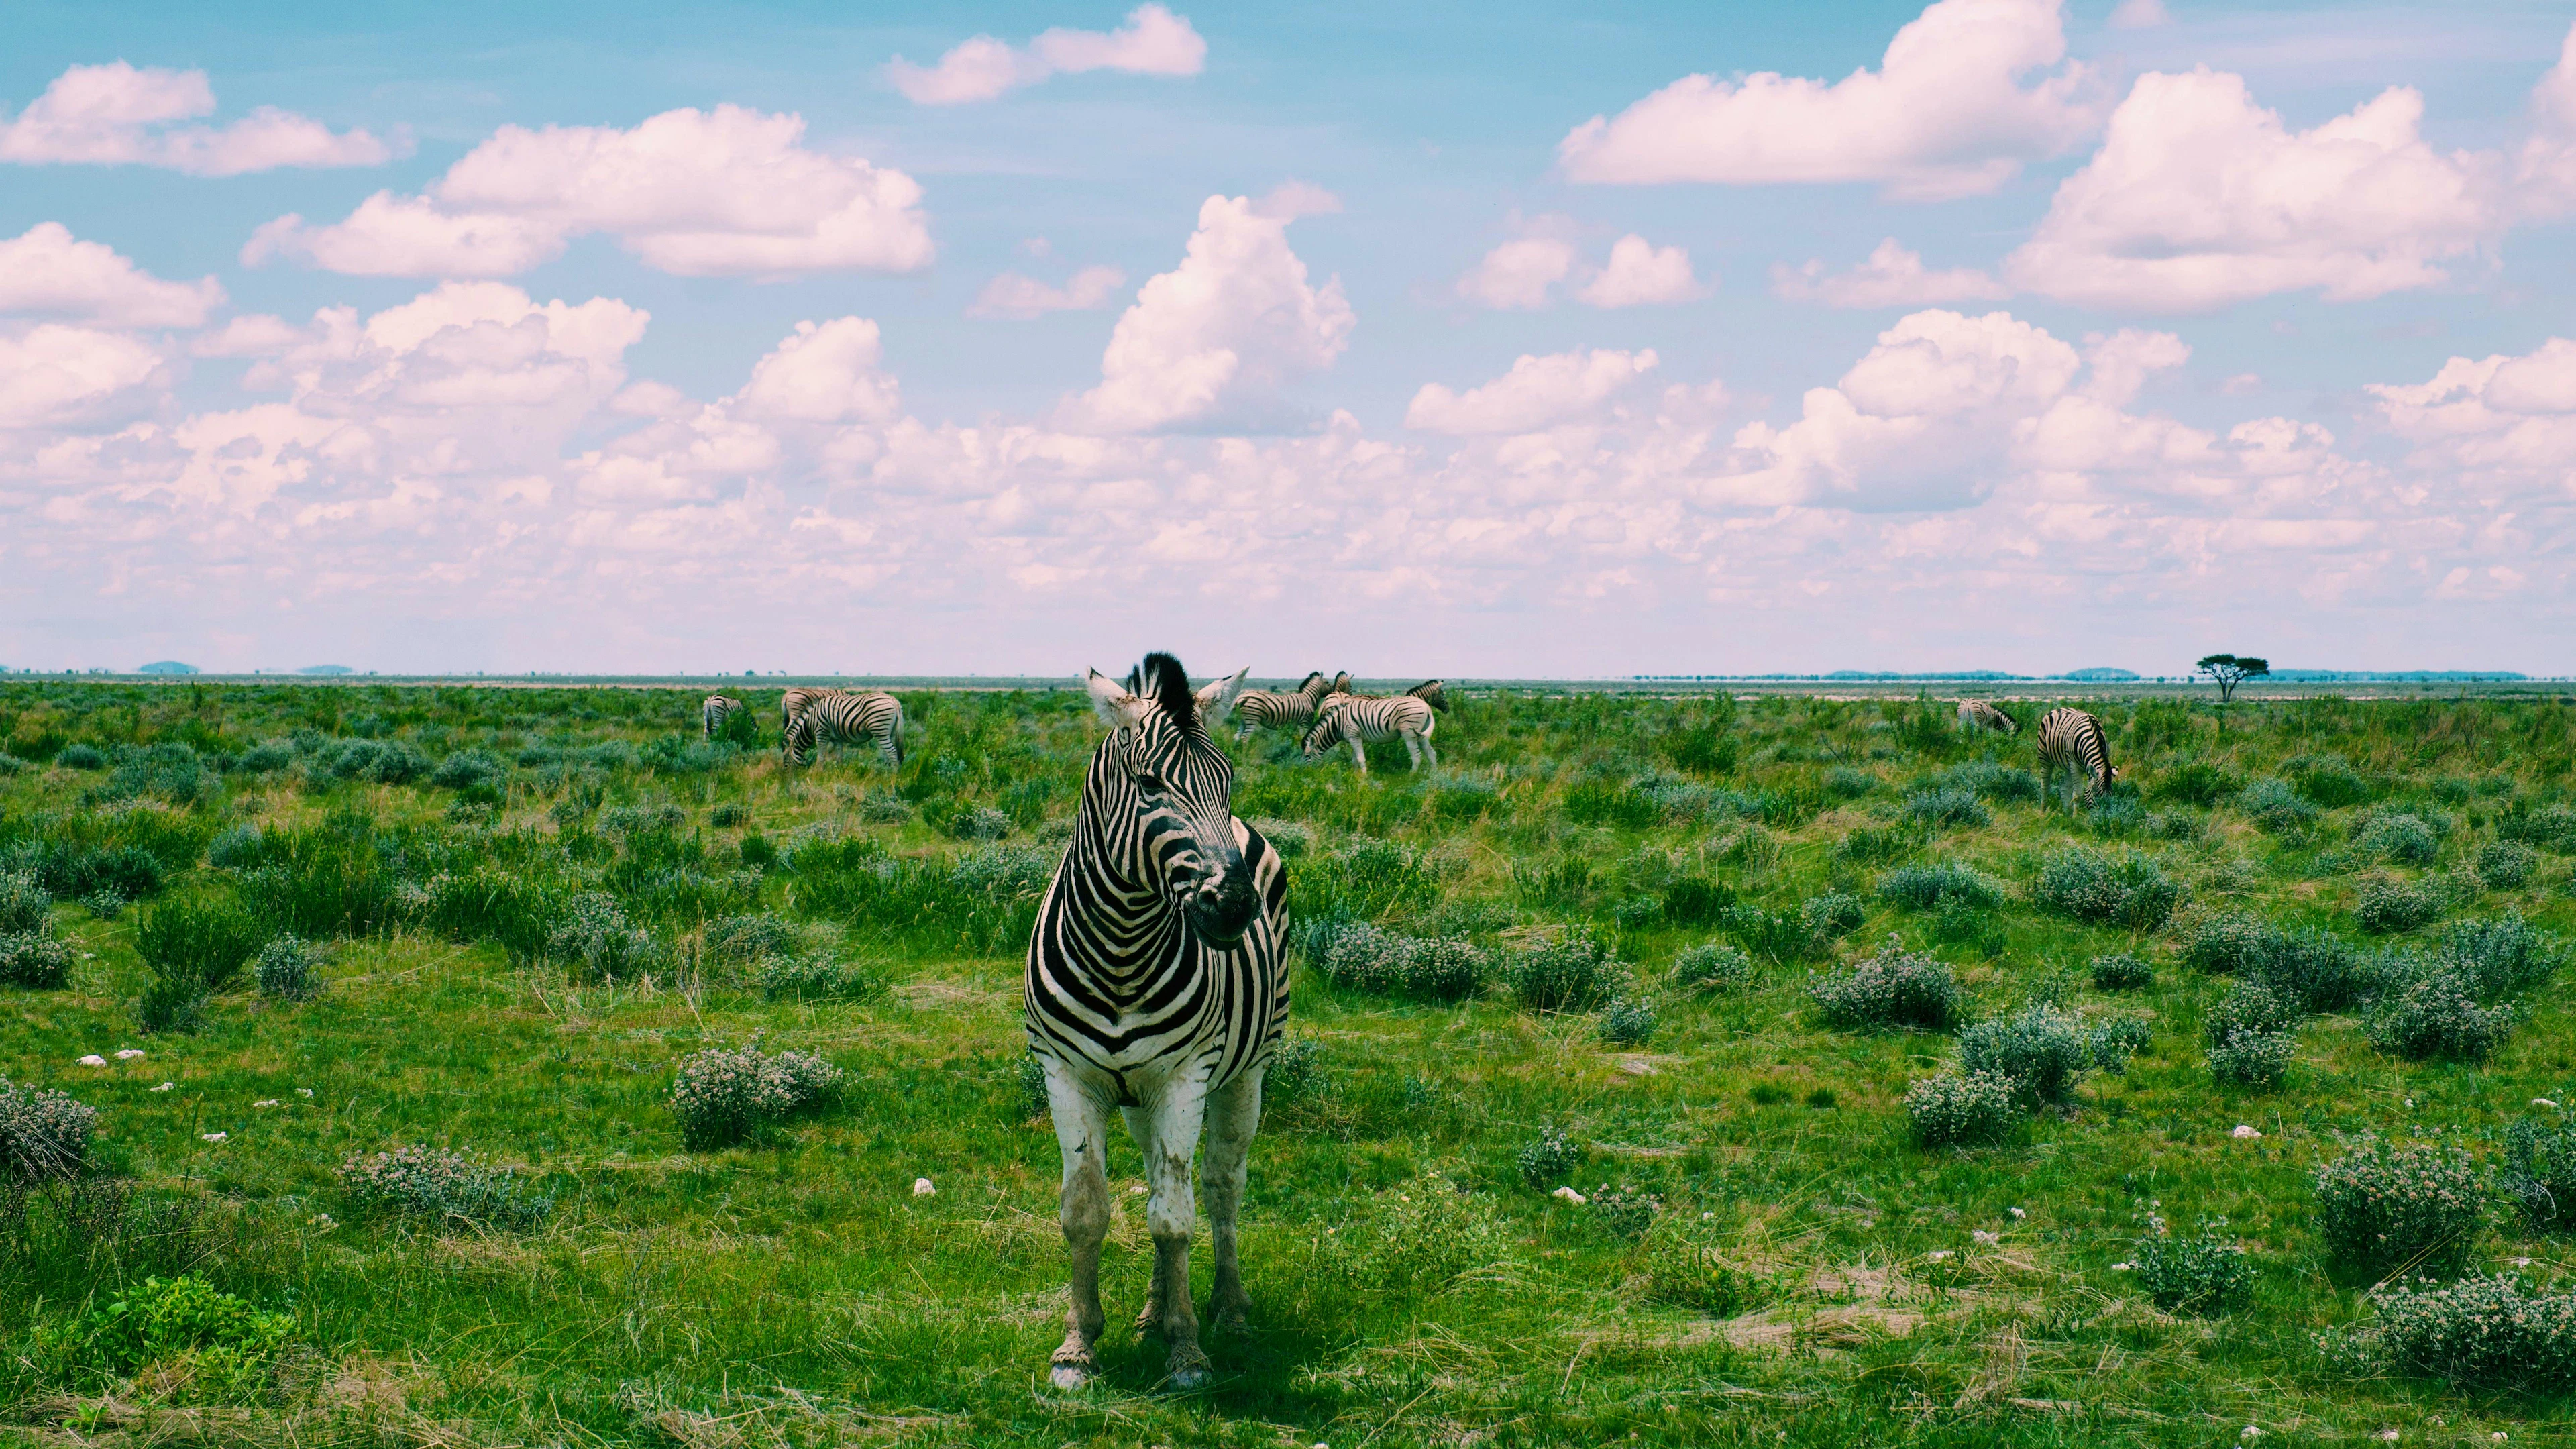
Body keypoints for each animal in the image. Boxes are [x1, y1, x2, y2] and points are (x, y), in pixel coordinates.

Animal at [783, 690, 905, 768]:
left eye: (785, 760)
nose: (784, 778)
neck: (810, 722)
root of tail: (893, 700)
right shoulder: (837, 739)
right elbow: (839, 757)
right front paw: (839, 772)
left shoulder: (821, 733)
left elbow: (821, 757)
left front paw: (818, 774)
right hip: (890, 732)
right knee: (889, 753)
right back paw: (885, 771)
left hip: (880, 730)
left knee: (892, 751)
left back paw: (893, 775)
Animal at [1026, 653, 1288, 1391]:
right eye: (1147, 784)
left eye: (1227, 777)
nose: (1234, 906)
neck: (1120, 946)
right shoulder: (1066, 1076)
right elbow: (1086, 1213)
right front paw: (1077, 1348)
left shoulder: (1184, 1077)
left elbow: (1175, 1219)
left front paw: (1187, 1350)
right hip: (1138, 1096)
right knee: (1156, 1176)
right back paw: (1150, 1310)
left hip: (1247, 1072)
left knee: (1221, 1187)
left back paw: (1228, 1309)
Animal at [1232, 671, 1333, 740]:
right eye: (1327, 682)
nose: (1333, 689)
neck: (1308, 698)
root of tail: (1241, 697)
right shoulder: (1304, 722)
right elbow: (1303, 738)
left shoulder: (1295, 725)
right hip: (1252, 718)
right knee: (1245, 738)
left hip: (1244, 720)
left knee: (1237, 737)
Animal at [1301, 692, 1437, 774]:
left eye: (1307, 756)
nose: (1309, 773)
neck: (1337, 724)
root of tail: (1426, 706)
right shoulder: (1355, 738)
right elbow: (1355, 759)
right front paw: (1355, 775)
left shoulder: (1354, 736)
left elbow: (1361, 759)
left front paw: (1364, 778)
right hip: (1422, 735)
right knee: (1431, 753)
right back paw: (1433, 776)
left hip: (1409, 733)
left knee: (1417, 756)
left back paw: (1412, 776)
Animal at [2036, 706, 2120, 813]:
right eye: (2096, 795)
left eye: (2111, 796)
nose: (2104, 815)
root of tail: (2058, 708)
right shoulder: (2075, 766)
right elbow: (2077, 796)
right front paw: (2075, 816)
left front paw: (2072, 816)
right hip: (2045, 757)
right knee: (2045, 787)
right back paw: (2042, 812)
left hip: (2068, 766)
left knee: (2064, 789)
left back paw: (2067, 814)